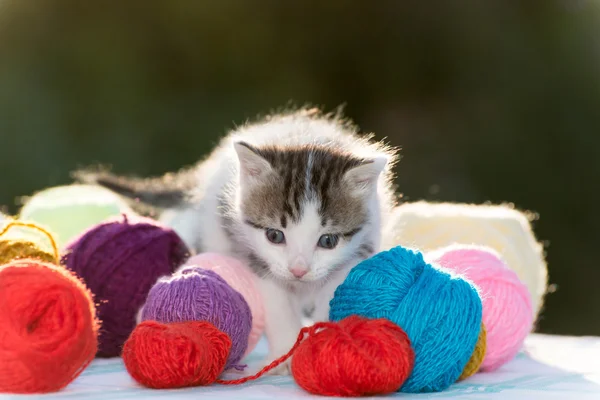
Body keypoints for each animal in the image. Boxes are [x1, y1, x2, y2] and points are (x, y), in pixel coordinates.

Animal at [74, 108, 398, 374]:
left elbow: (333, 296)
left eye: (328, 241)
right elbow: (277, 305)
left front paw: (324, 345)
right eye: (274, 236)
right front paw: (284, 356)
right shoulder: (253, 256)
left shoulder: (357, 250)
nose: (298, 270)